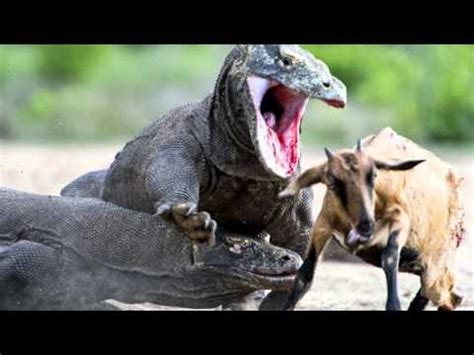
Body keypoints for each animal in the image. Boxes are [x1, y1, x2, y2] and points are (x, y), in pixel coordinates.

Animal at [280, 129, 464, 312]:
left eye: (374, 175)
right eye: (332, 184)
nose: (365, 226)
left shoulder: (400, 218)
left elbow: (389, 258)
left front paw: (394, 305)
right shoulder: (323, 224)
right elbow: (305, 274)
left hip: (436, 261)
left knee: (444, 294)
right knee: (446, 295)